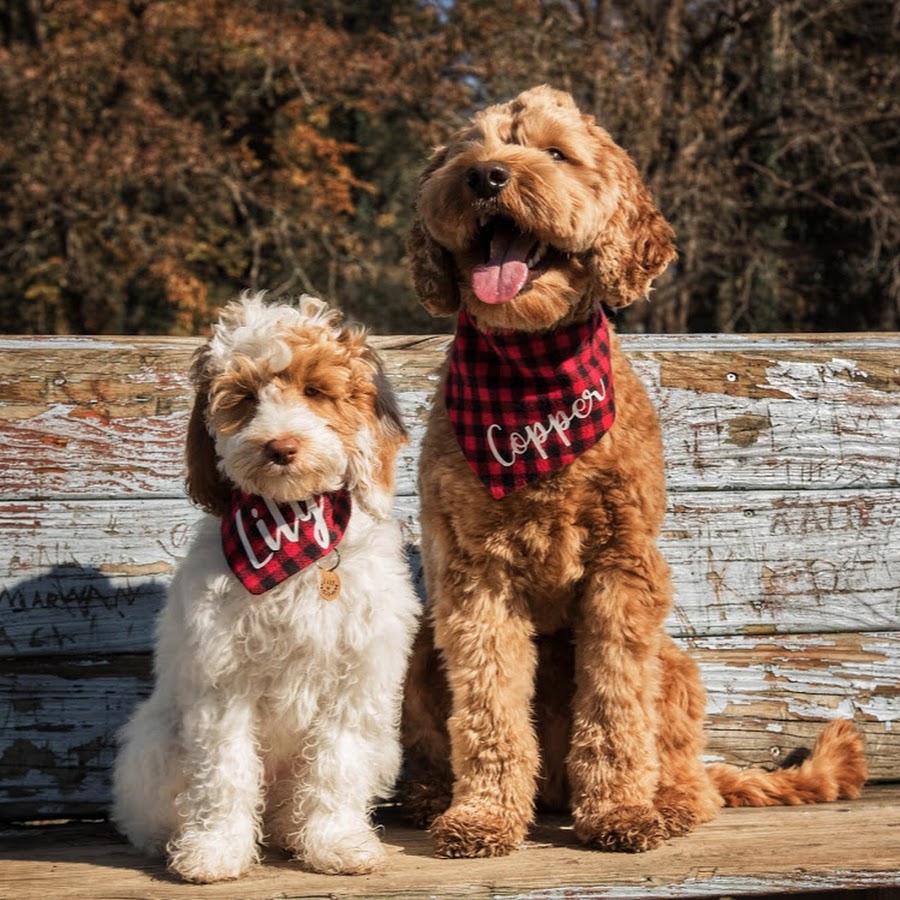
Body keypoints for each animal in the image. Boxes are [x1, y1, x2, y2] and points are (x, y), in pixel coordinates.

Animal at [112, 292, 418, 884]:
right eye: (246, 398)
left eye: (316, 391)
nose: (280, 446)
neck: (289, 528)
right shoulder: (223, 681)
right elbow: (225, 771)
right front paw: (214, 851)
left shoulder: (355, 678)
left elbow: (336, 764)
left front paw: (336, 844)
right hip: (157, 740)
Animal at [400, 88, 864, 860]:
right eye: (468, 150)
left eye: (555, 153)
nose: (486, 176)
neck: (530, 376)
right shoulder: (475, 578)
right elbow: (490, 708)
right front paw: (484, 816)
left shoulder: (622, 569)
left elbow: (617, 704)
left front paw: (619, 810)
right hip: (421, 654)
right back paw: (435, 797)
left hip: (675, 665)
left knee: (688, 770)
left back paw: (668, 802)